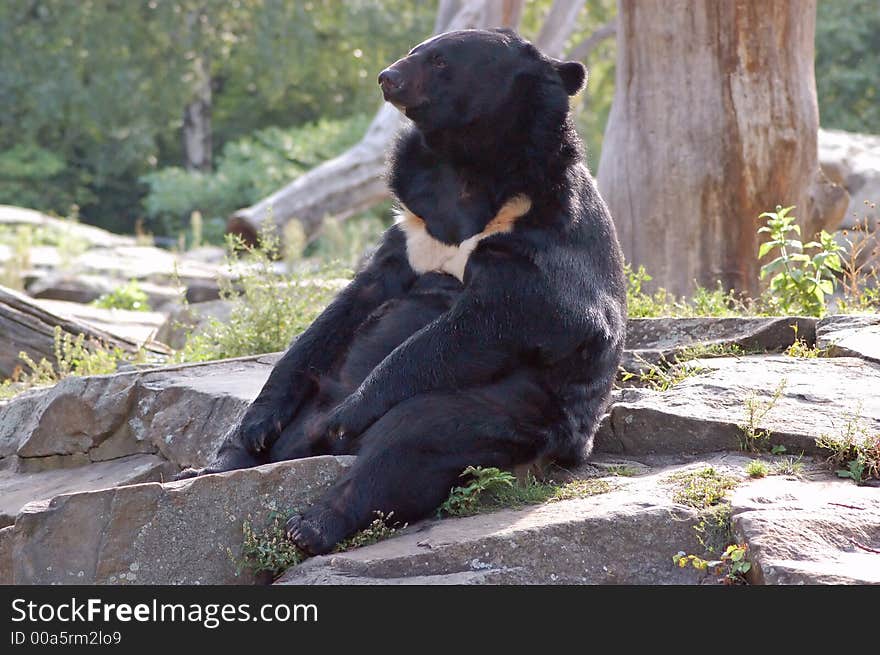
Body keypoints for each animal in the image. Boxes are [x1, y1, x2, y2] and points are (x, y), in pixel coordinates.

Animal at [177, 28, 624, 556]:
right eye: (416, 50)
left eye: (439, 60)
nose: (387, 77)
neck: (467, 162)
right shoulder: (412, 227)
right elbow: (341, 312)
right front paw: (258, 420)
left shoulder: (542, 228)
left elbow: (518, 314)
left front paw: (353, 408)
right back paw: (212, 466)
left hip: (516, 408)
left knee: (412, 440)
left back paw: (312, 520)